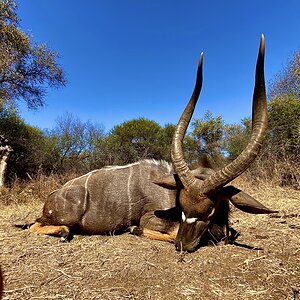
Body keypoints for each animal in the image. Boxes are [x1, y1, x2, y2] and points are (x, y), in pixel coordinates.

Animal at [29, 37, 276, 253]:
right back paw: (64, 232)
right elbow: (153, 228)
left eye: (210, 209)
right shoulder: (150, 218)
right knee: (34, 225)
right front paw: (134, 229)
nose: (183, 245)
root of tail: (54, 195)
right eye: (183, 207)